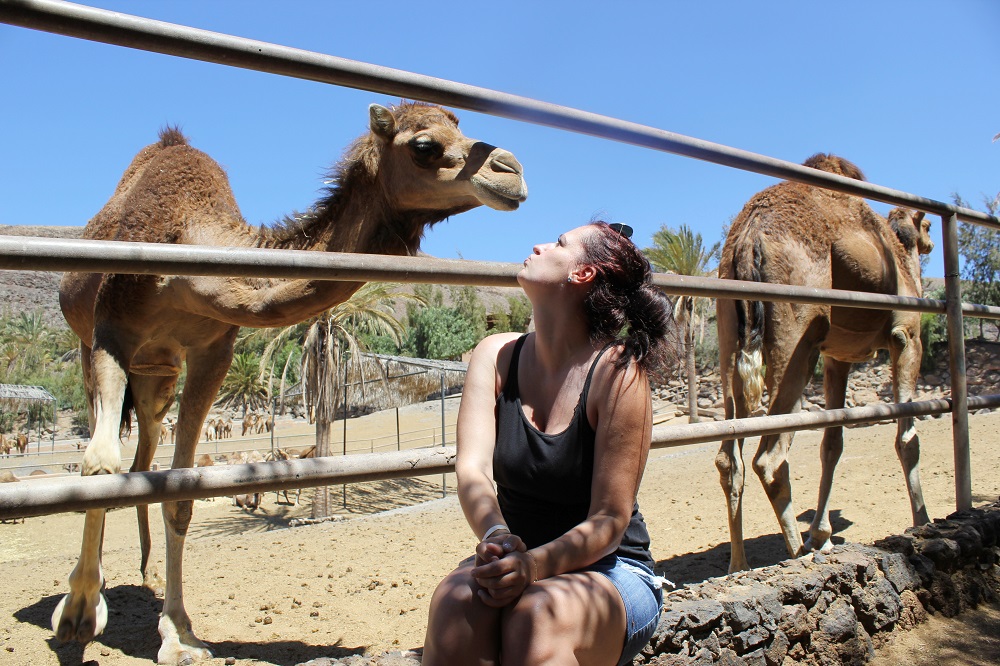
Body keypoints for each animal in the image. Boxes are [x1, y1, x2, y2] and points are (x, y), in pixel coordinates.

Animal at [55, 98, 528, 660]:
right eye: (424, 145)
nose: (511, 171)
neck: (187, 257)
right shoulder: (111, 329)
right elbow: (98, 467)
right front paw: (79, 613)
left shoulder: (212, 350)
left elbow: (183, 488)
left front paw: (179, 632)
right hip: (93, 344)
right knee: (104, 455)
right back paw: (92, 592)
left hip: (158, 370)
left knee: (145, 452)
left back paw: (143, 572)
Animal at [716, 154, 932, 572]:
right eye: (928, 225)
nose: (930, 242)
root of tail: (749, 234)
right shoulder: (906, 336)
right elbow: (908, 438)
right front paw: (923, 523)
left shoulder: (837, 357)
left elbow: (832, 443)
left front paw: (822, 533)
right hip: (798, 335)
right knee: (770, 459)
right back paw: (798, 554)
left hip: (728, 334)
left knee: (729, 459)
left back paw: (738, 565)